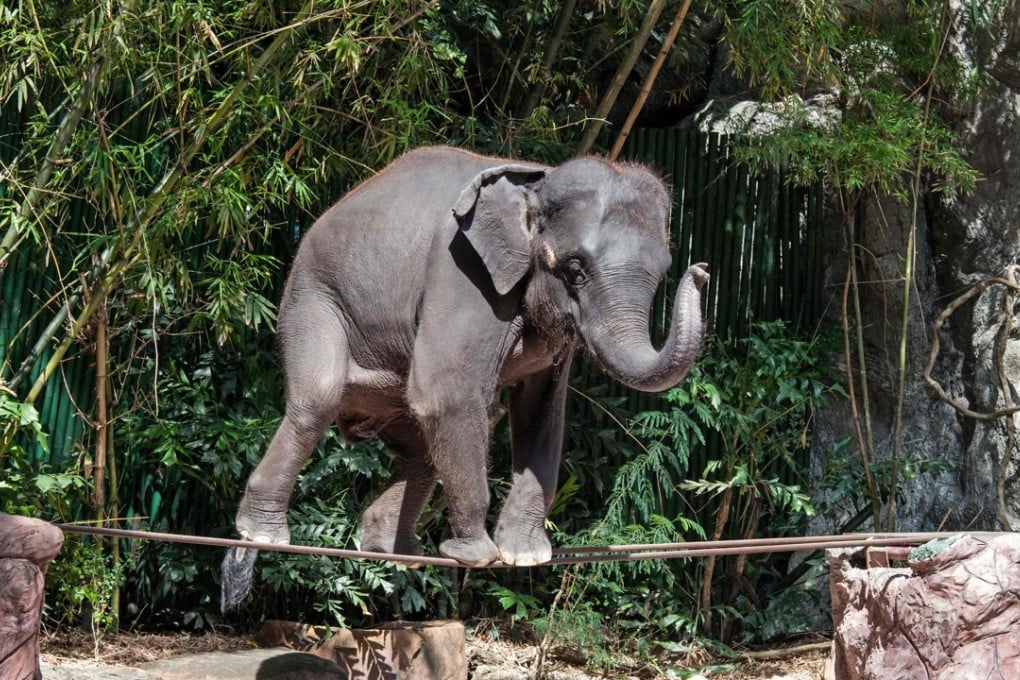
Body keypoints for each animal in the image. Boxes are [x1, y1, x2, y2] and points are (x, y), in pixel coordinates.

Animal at [221, 146, 708, 611]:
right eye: (574, 269)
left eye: (663, 272)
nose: (701, 271)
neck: (537, 181)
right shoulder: (459, 269)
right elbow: (446, 393)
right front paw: (476, 555)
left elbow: (540, 410)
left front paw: (525, 556)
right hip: (311, 298)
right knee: (319, 399)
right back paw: (262, 535)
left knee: (419, 448)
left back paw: (393, 549)